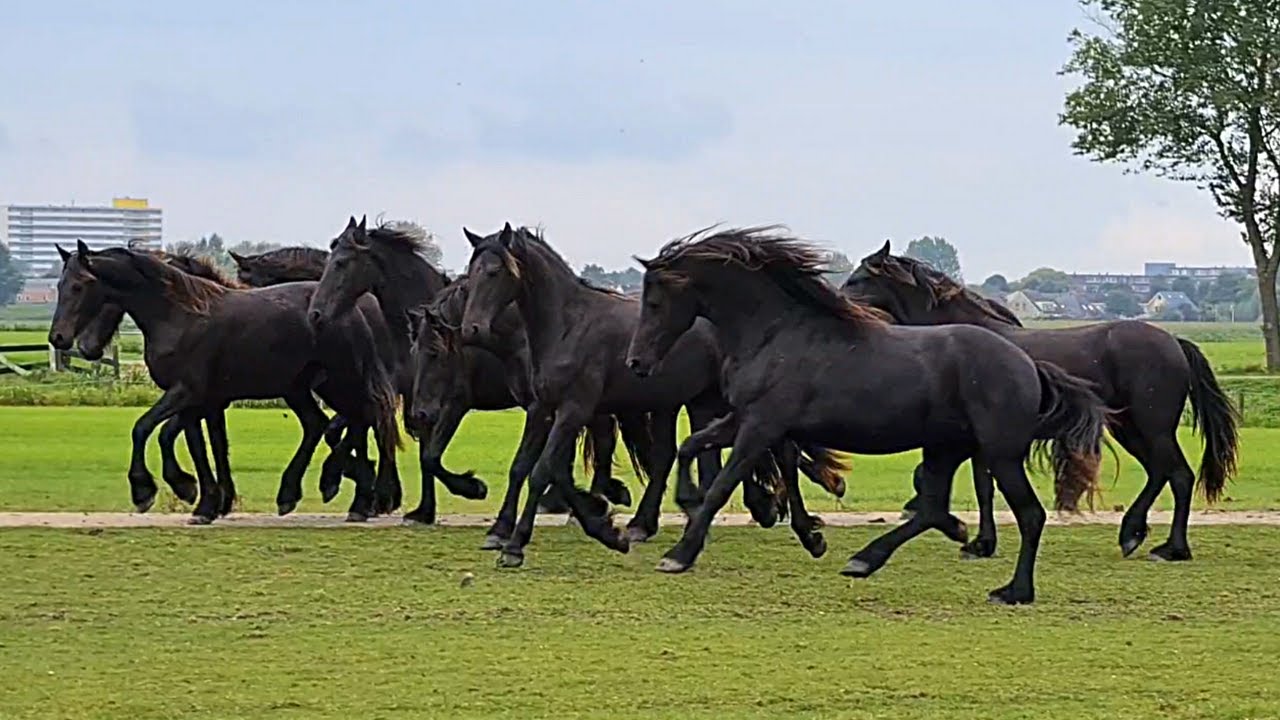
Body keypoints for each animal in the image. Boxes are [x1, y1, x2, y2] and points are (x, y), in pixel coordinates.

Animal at [48, 241, 402, 523]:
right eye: (60, 286)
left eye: (79, 286)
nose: (61, 338)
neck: (179, 315)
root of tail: (352, 310)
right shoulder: (199, 402)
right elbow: (199, 445)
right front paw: (203, 500)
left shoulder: (186, 392)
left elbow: (145, 428)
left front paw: (146, 491)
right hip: (304, 388)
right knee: (325, 424)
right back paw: (302, 493)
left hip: (340, 382)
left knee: (362, 418)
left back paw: (349, 492)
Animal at [459, 223, 848, 568]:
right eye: (469, 275)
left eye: (493, 271)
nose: (471, 328)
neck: (570, 326)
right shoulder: (543, 409)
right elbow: (524, 466)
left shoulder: (574, 410)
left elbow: (542, 472)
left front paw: (516, 546)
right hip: (701, 403)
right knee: (703, 458)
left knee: (781, 453)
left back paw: (802, 531)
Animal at [625, 227, 1107, 604]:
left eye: (654, 302)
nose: (636, 363)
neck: (777, 334)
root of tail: (1029, 365)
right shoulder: (748, 421)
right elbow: (693, 447)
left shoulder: (760, 426)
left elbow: (722, 484)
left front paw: (679, 554)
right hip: (947, 447)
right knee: (932, 508)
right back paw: (867, 559)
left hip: (999, 453)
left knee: (1029, 514)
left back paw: (1014, 591)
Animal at [841, 242, 1240, 561]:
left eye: (858, 279)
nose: (840, 301)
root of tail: (1174, 342)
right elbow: (983, 488)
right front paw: (978, 540)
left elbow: (980, 486)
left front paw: (976, 541)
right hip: (1129, 428)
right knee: (1160, 472)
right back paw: (1132, 534)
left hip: (1154, 427)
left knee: (1180, 476)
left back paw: (1172, 548)